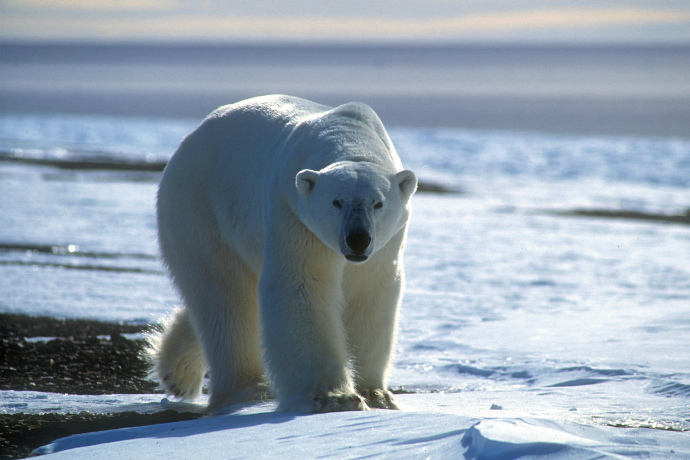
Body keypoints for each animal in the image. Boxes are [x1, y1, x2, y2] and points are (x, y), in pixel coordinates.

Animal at [148, 95, 417, 413]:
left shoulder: (385, 245)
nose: (358, 239)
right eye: (336, 201)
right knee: (224, 295)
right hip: (200, 206)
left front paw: (376, 394)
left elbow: (369, 293)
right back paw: (248, 389)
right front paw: (335, 397)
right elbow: (301, 286)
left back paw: (177, 372)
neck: (350, 135)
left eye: (378, 203)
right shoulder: (293, 213)